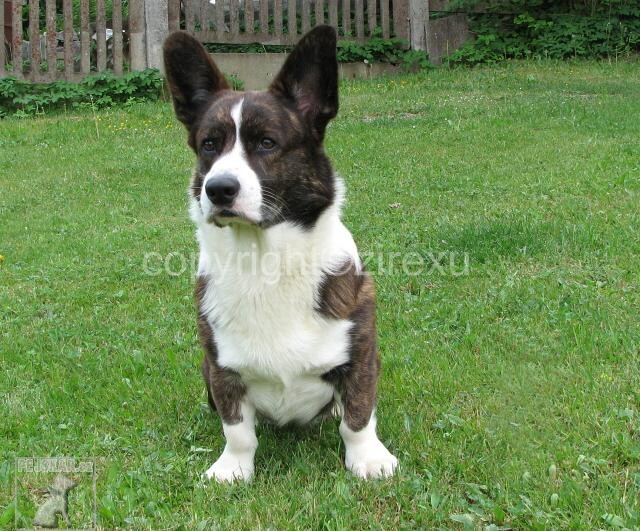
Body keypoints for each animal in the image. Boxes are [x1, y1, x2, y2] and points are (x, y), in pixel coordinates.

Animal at [162, 25, 398, 482]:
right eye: (209, 145)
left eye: (267, 143)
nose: (218, 189)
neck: (263, 260)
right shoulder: (221, 368)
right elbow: (238, 429)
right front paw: (232, 469)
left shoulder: (361, 356)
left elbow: (358, 416)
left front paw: (368, 459)